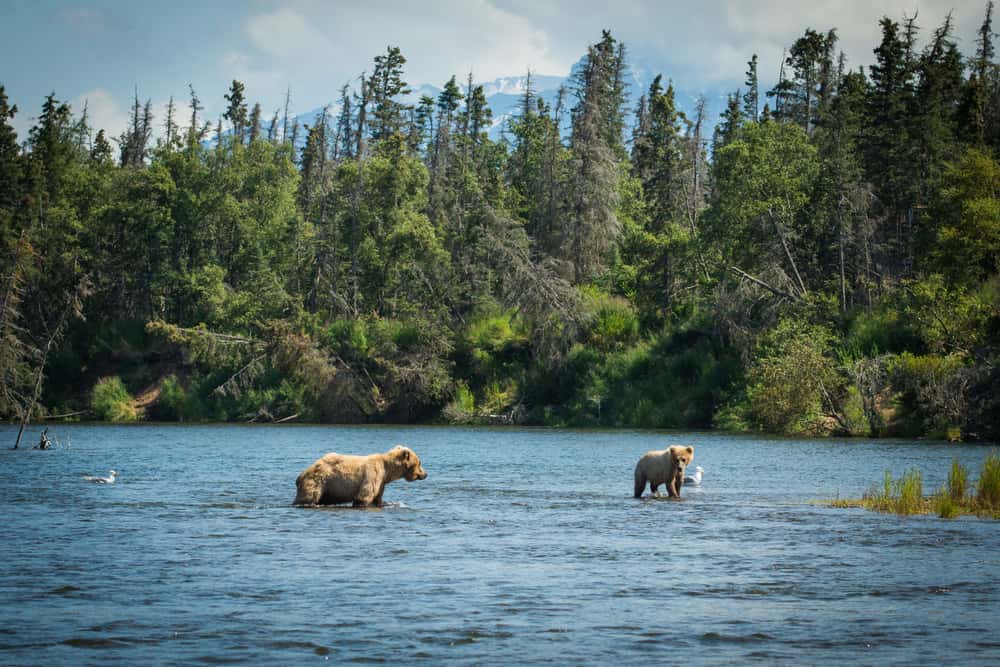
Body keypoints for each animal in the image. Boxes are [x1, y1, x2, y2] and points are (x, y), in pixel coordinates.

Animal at [293, 445, 428, 507]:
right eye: (420, 462)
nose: (426, 474)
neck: (387, 471)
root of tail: (301, 474)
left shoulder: (381, 483)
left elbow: (378, 498)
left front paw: (384, 503)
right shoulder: (373, 474)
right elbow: (364, 497)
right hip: (318, 481)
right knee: (309, 497)